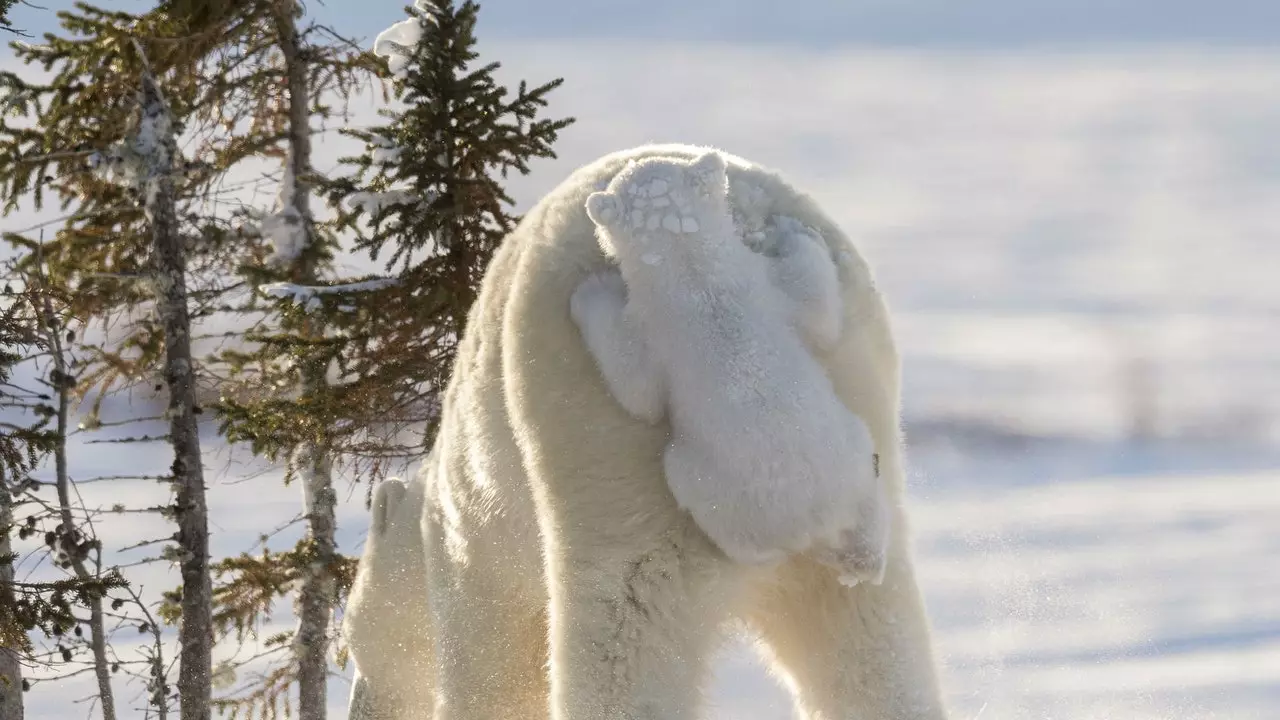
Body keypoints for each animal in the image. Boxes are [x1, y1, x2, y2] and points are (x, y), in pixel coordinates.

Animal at [570, 152, 890, 584]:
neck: (695, 272)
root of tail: (815, 522)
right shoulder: (763, 289)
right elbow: (816, 307)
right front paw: (794, 231)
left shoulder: (660, 326)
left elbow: (639, 392)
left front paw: (591, 290)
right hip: (846, 461)